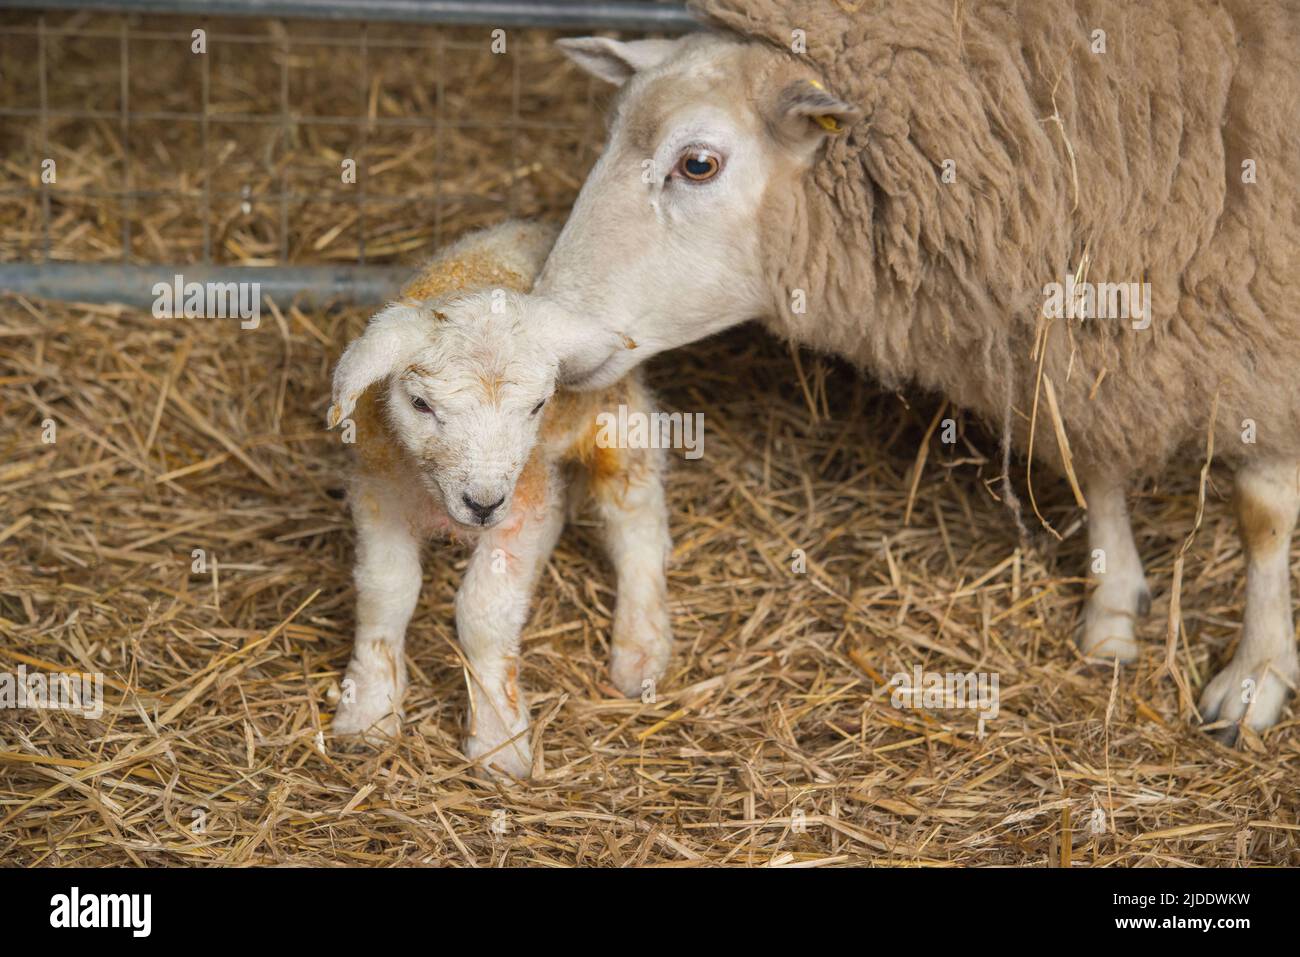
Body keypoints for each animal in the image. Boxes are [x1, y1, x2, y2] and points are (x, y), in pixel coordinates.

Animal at [327, 220, 672, 777]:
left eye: (537, 405)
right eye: (420, 404)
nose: (482, 503)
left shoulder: (522, 511)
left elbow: (483, 614)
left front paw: (497, 741)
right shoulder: (379, 492)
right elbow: (386, 592)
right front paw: (369, 712)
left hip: (617, 421)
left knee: (637, 522)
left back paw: (640, 646)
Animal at [525, 0, 1300, 739]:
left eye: (697, 164)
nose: (550, 336)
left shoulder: (1266, 331)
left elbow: (1262, 516)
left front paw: (1255, 676)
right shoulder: (1078, 338)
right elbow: (1095, 465)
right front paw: (1111, 612)